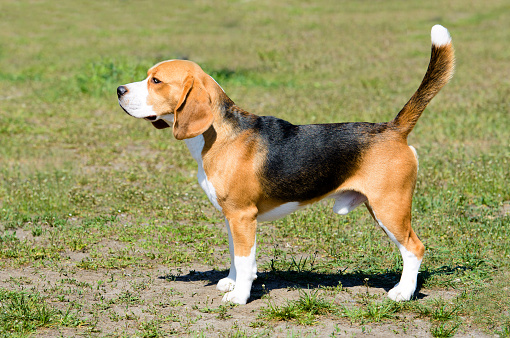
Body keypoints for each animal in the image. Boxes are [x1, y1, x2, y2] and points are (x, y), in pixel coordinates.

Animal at [118, 24, 454, 304]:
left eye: (156, 80)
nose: (119, 90)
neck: (219, 134)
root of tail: (394, 128)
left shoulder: (243, 215)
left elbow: (245, 260)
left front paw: (239, 296)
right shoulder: (231, 216)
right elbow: (235, 254)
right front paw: (231, 282)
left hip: (390, 207)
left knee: (414, 248)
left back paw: (403, 293)